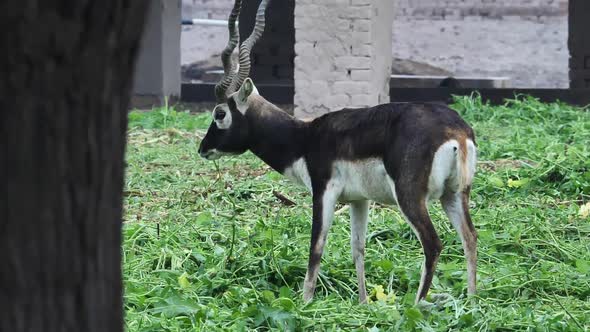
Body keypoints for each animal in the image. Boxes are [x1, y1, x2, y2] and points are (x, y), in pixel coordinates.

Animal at [198, 0, 476, 306]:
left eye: (220, 113)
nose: (203, 148)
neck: (304, 138)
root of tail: (455, 132)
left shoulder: (323, 192)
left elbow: (316, 248)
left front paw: (305, 304)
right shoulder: (359, 200)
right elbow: (358, 248)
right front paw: (363, 303)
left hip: (410, 197)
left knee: (433, 243)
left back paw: (416, 306)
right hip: (455, 194)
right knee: (470, 237)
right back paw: (473, 301)